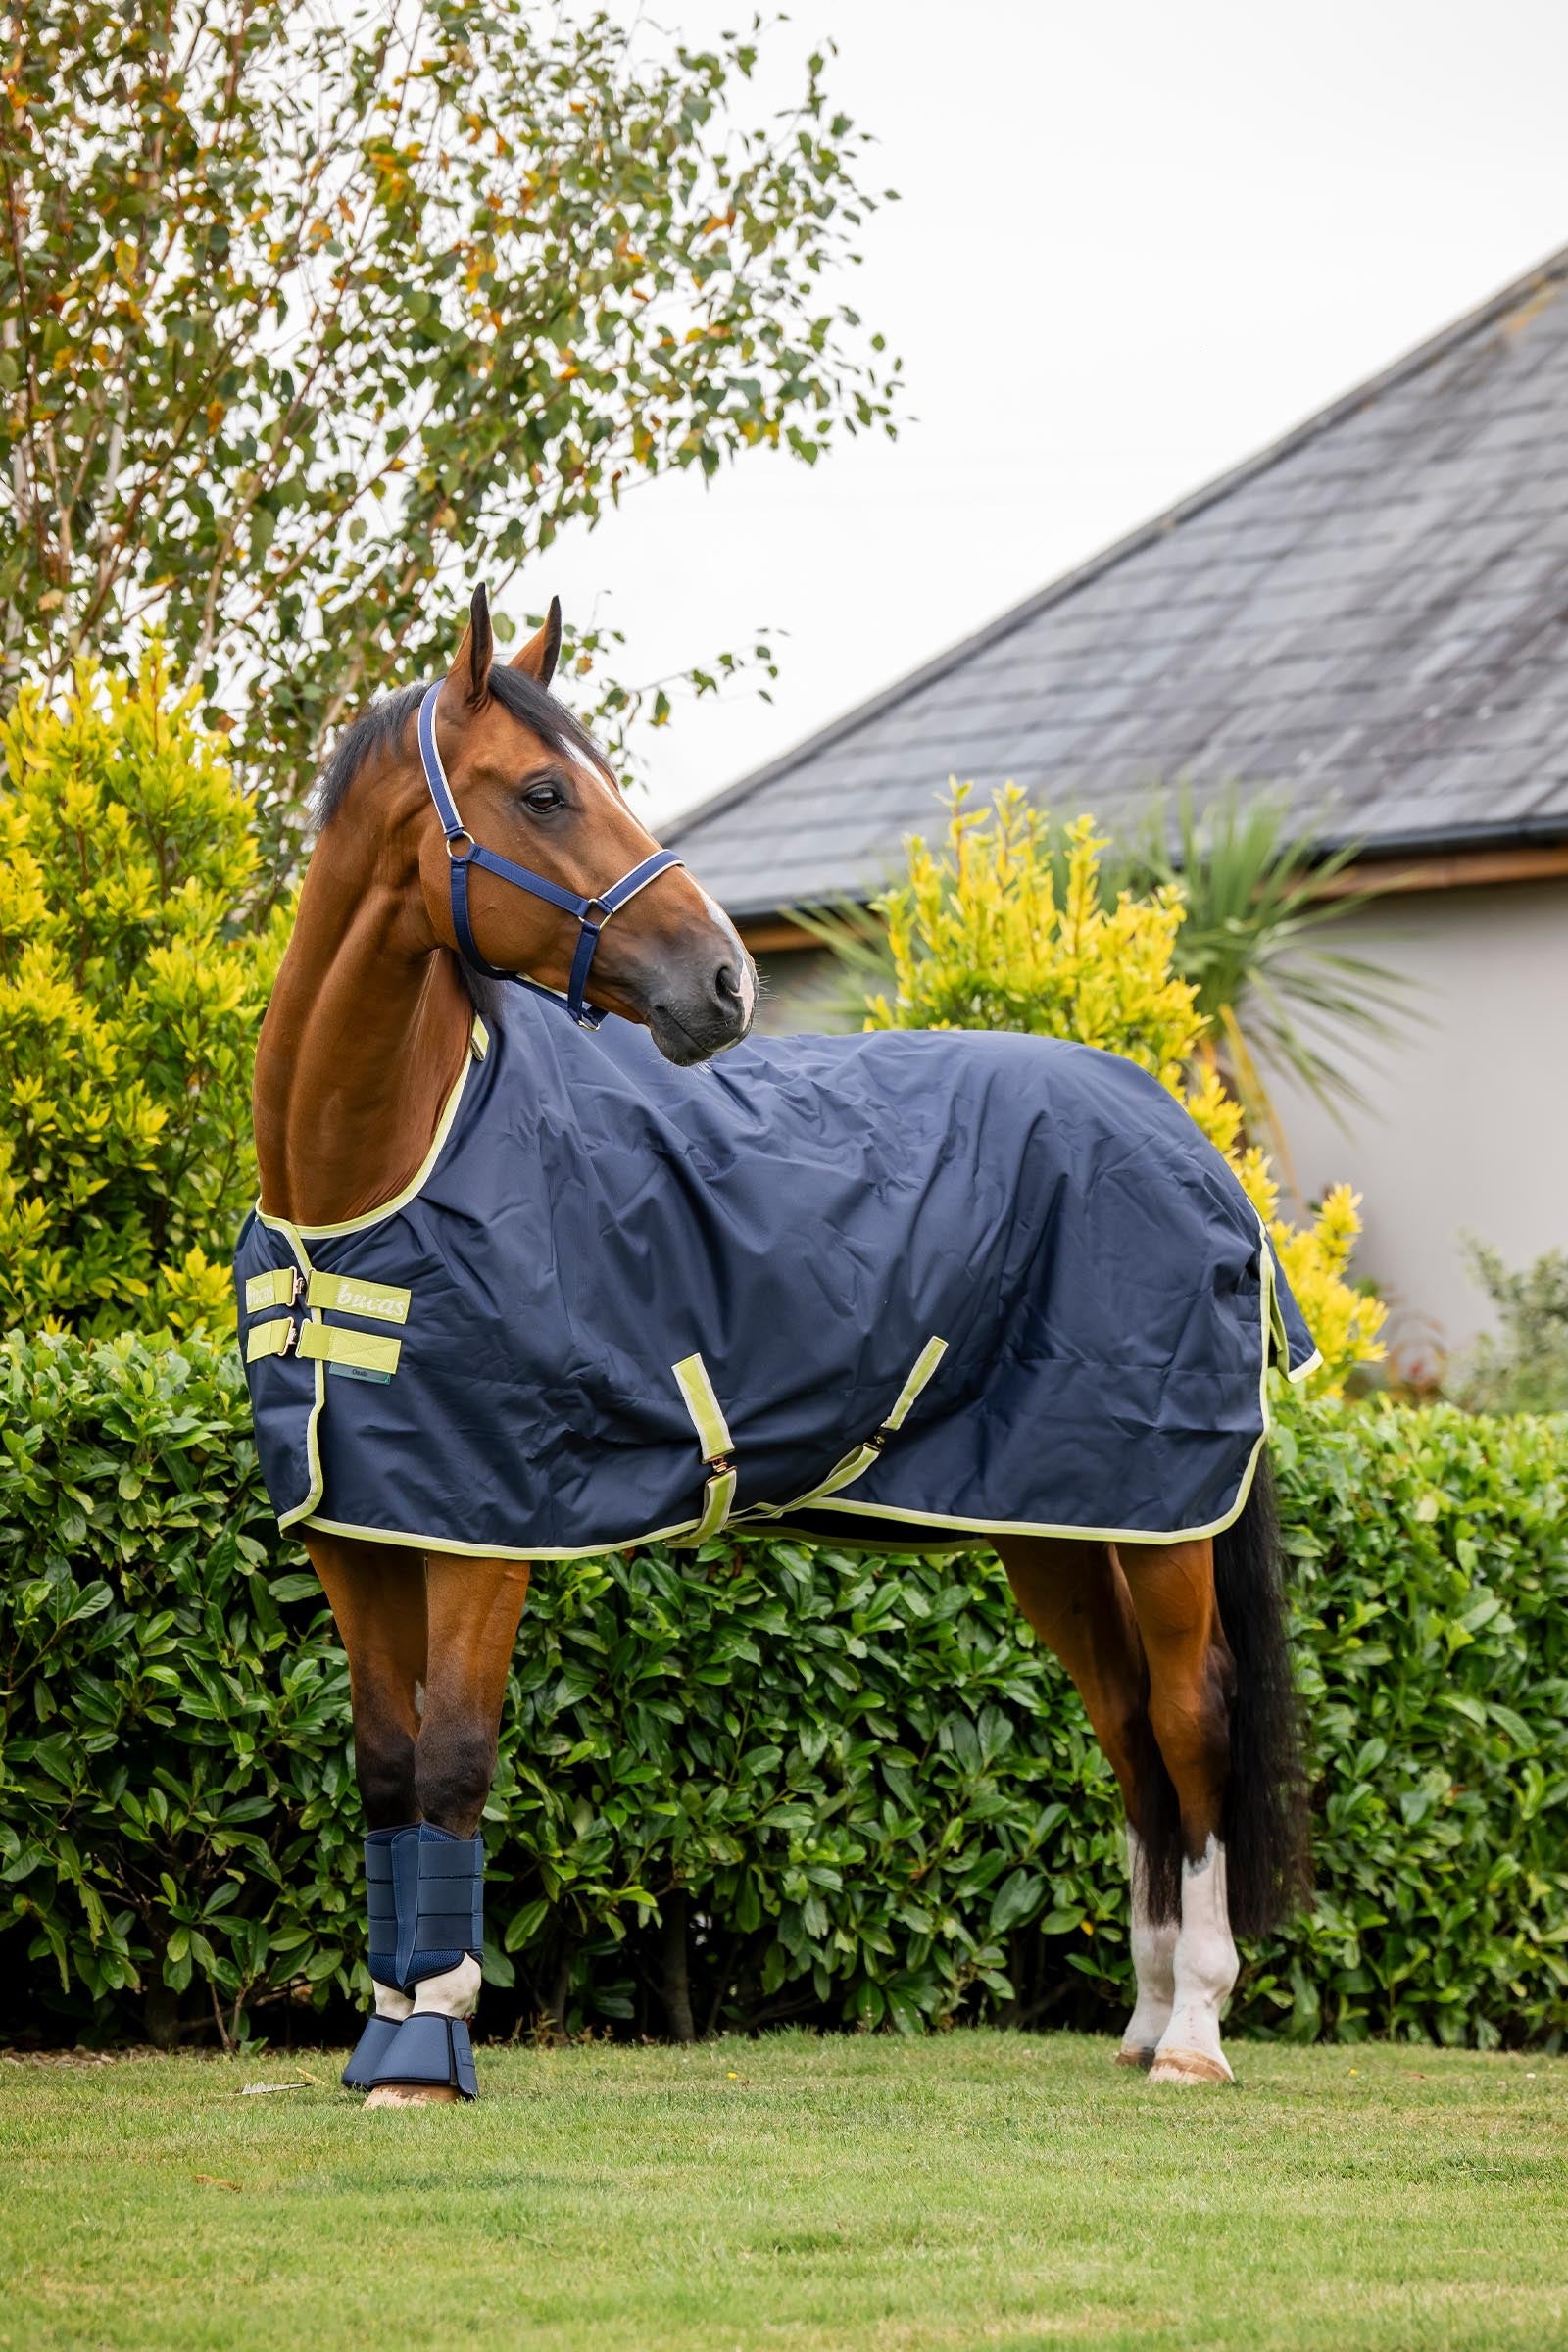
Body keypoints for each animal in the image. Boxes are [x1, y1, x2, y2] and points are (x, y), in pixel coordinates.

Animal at [243, 586, 1310, 2106]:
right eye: (545, 790)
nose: (726, 982)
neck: (382, 1179)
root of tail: (1187, 1135)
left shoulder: (486, 1538)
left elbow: (451, 1760)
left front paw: (430, 2040)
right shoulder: (362, 1532)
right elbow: (389, 1773)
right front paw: (386, 2033)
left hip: (1160, 1519)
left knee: (1187, 1718)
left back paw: (1198, 2034)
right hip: (1057, 1522)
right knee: (1126, 1733)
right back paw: (1148, 2012)